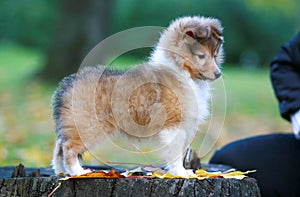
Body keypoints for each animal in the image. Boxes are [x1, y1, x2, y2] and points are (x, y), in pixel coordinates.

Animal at [51, 15, 223, 175]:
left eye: (215, 55)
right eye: (201, 56)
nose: (218, 74)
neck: (181, 71)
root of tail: (68, 85)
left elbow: (180, 152)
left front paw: (184, 172)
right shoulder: (173, 124)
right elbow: (175, 153)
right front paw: (180, 173)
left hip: (74, 124)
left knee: (59, 147)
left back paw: (62, 172)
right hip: (88, 126)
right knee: (68, 148)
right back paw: (78, 172)